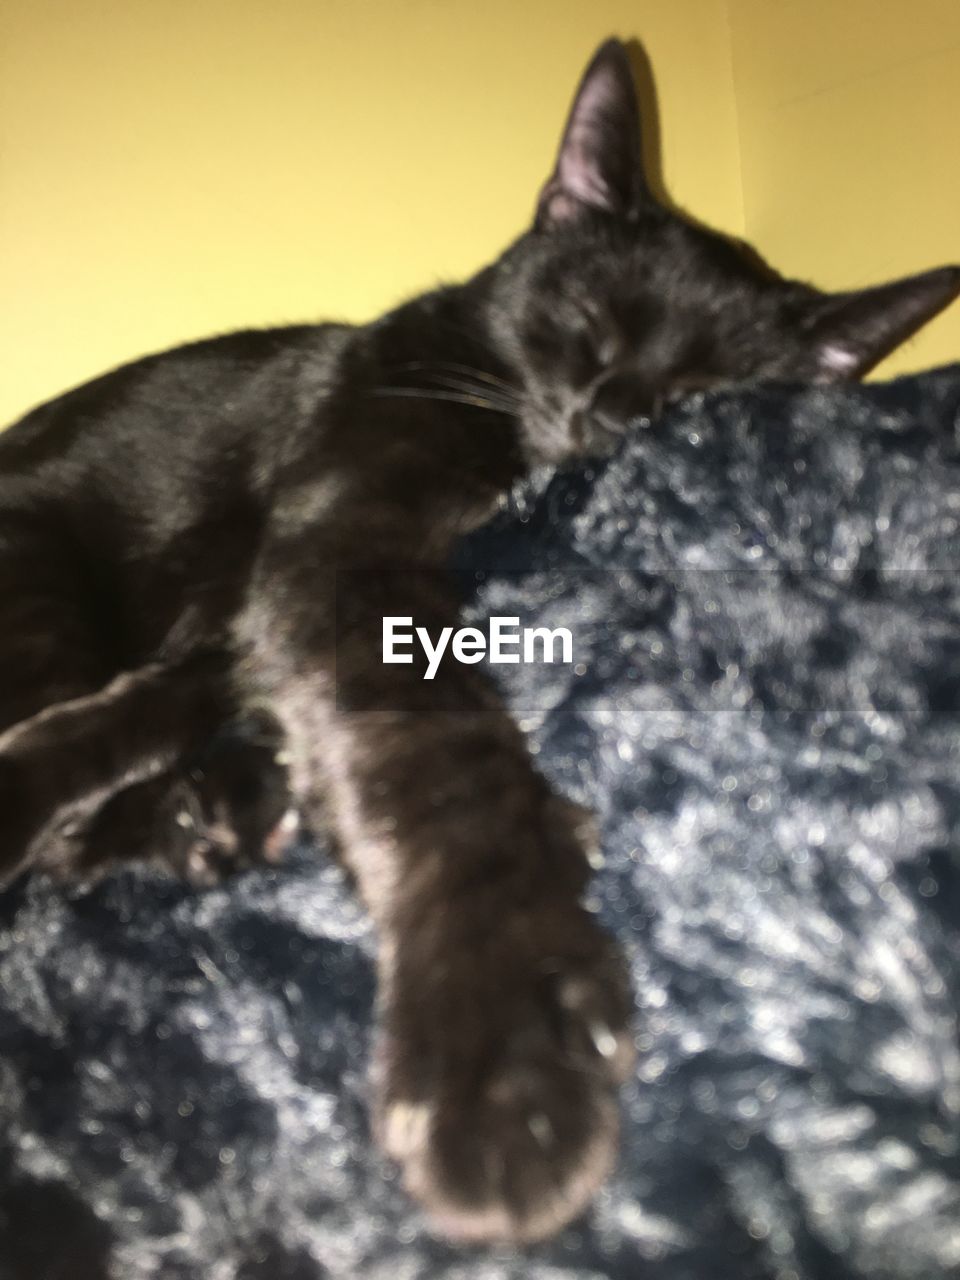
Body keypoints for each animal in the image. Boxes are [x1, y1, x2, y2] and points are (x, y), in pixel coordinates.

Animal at [1, 40, 960, 1239]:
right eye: (590, 319)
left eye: (701, 392)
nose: (614, 414)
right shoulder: (345, 553)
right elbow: (442, 761)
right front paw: (508, 1044)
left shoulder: (259, 602)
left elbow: (169, 697)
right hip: (41, 584)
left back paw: (206, 808)